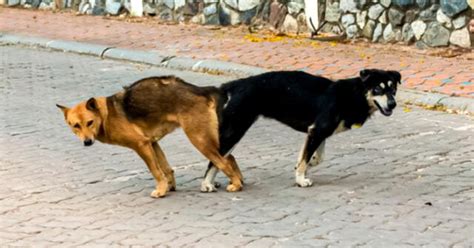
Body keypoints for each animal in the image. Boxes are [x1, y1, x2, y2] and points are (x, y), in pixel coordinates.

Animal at [57, 75, 243, 198]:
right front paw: (168, 187)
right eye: (76, 126)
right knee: (230, 157)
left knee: (224, 161)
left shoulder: (141, 145)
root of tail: (202, 90)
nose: (87, 142)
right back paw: (238, 180)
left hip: (199, 139)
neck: (106, 115)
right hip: (208, 139)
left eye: (89, 123)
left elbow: (156, 171)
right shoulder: (152, 144)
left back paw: (236, 184)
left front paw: (160, 191)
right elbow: (166, 169)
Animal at [200, 69, 400, 191]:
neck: (353, 95)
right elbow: (306, 159)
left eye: (393, 90)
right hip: (236, 130)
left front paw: (303, 167)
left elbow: (315, 157)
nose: (393, 104)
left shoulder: (318, 132)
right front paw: (301, 179)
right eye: (378, 88)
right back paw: (206, 184)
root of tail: (233, 85)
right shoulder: (318, 131)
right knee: (215, 157)